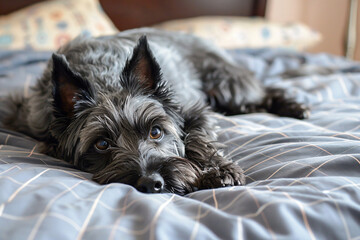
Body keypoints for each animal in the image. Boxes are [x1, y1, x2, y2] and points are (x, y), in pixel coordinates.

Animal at [1, 27, 308, 195]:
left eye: (156, 132)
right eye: (101, 144)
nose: (152, 183)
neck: (104, 79)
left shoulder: (193, 111)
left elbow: (199, 139)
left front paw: (221, 171)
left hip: (227, 84)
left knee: (263, 91)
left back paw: (295, 107)